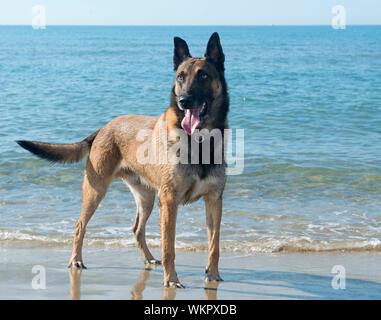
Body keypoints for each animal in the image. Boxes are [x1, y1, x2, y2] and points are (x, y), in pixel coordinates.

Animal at [16, 31, 227, 288]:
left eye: (203, 75)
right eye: (180, 77)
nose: (184, 101)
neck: (200, 139)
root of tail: (104, 127)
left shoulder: (214, 200)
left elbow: (214, 245)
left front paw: (213, 275)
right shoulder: (169, 202)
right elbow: (169, 247)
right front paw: (171, 279)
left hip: (146, 197)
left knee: (137, 229)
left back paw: (148, 259)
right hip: (96, 191)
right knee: (79, 226)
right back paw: (76, 260)